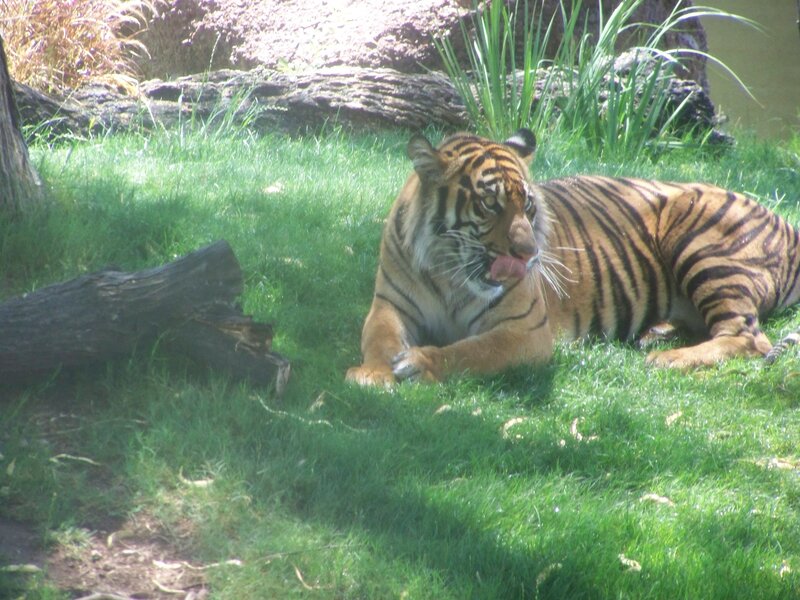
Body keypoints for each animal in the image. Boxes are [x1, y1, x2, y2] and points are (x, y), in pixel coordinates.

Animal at [345, 128, 800, 386]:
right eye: (490, 205)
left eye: (528, 206)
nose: (529, 255)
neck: (450, 273)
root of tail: (782, 219)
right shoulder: (391, 305)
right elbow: (378, 338)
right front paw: (372, 373)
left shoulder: (525, 330)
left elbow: (470, 351)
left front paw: (420, 364)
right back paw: (657, 334)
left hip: (701, 245)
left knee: (748, 337)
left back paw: (666, 358)